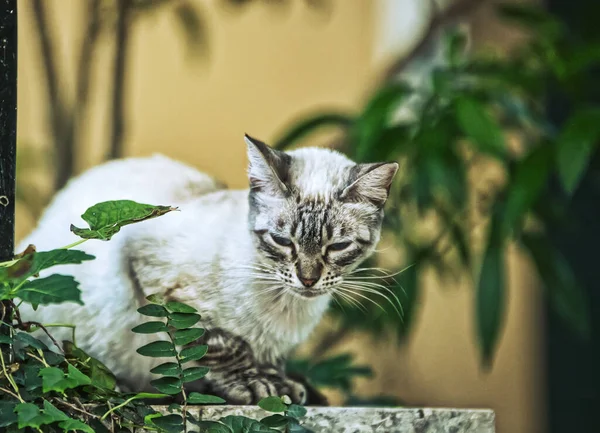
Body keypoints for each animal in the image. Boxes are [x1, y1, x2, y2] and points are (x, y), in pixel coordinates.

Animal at [17, 135, 398, 404]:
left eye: (338, 247)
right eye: (282, 241)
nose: (308, 279)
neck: (285, 306)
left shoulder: (274, 346)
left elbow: (269, 360)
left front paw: (280, 384)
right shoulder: (154, 276)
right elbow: (220, 341)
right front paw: (251, 384)